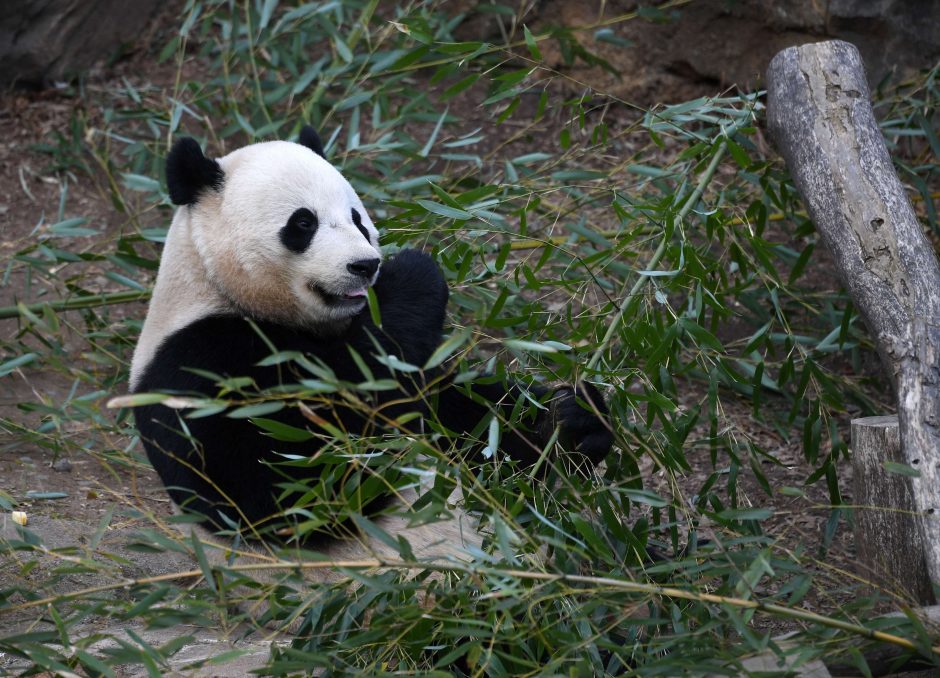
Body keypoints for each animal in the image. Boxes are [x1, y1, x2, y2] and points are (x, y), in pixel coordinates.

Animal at [130, 127, 616, 584]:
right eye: (302, 223)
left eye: (356, 218)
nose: (364, 266)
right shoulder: (201, 368)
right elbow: (298, 489)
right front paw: (414, 275)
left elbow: (467, 421)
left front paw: (569, 418)